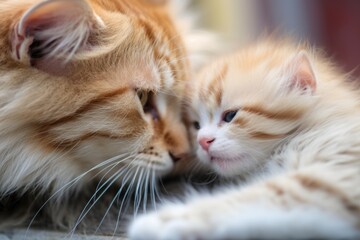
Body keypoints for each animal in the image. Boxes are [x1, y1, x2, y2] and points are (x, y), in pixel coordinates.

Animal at [129, 40, 360, 239]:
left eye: (230, 116)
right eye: (196, 126)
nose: (203, 142)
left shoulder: (331, 174)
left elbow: (255, 197)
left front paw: (164, 220)